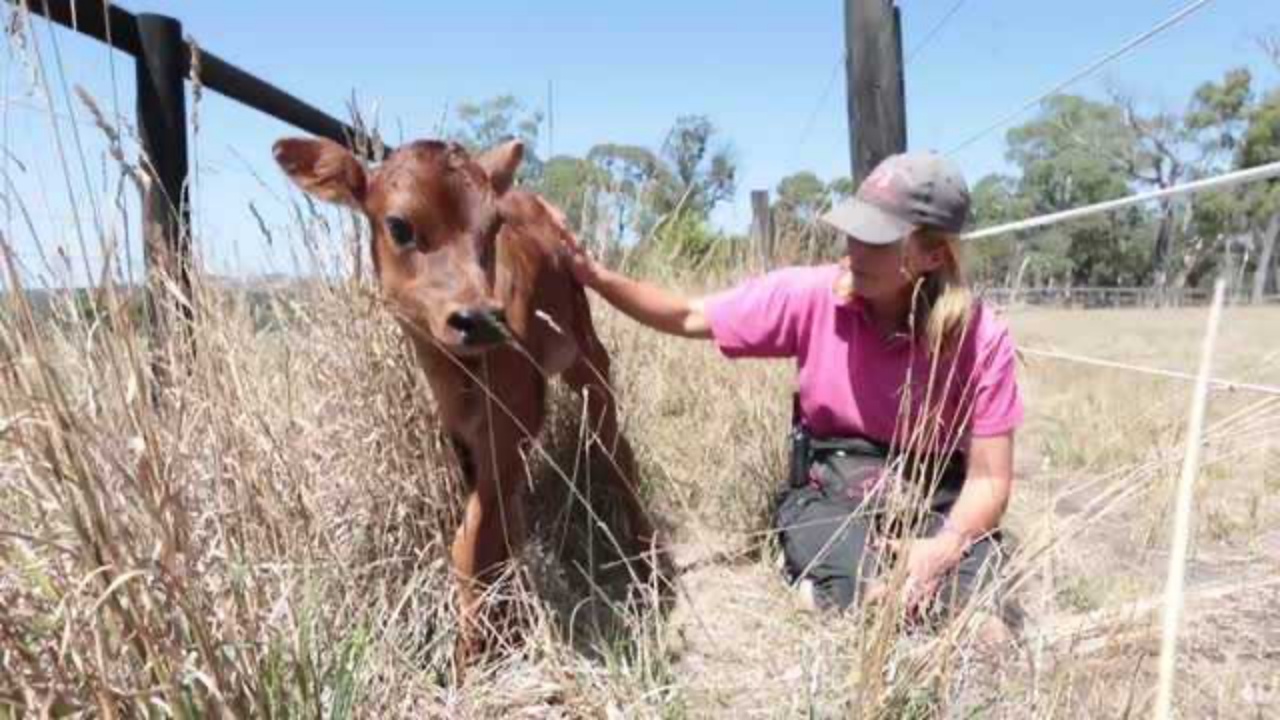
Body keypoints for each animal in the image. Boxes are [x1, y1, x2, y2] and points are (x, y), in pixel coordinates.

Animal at [276, 134, 665, 666]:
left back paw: (647, 558)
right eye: (399, 225)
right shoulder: (464, 435)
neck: (456, 373)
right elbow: (490, 530)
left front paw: (471, 657)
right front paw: (498, 628)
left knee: (613, 446)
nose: (480, 318)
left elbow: (470, 545)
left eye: (493, 226)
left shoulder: (515, 418)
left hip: (587, 354)